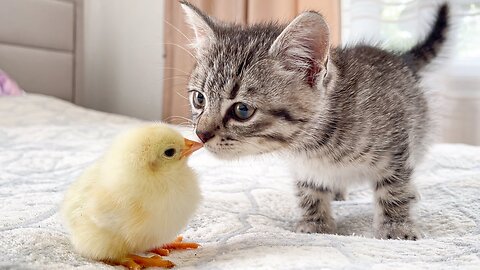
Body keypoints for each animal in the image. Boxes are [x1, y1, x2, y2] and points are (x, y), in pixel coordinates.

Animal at [180, 1, 450, 239]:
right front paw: (315, 223)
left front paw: (397, 226)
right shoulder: (304, 166)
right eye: (199, 99)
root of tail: (401, 59)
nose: (201, 134)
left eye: (242, 110)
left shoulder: (395, 145)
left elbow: (394, 187)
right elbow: (309, 190)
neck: (316, 146)